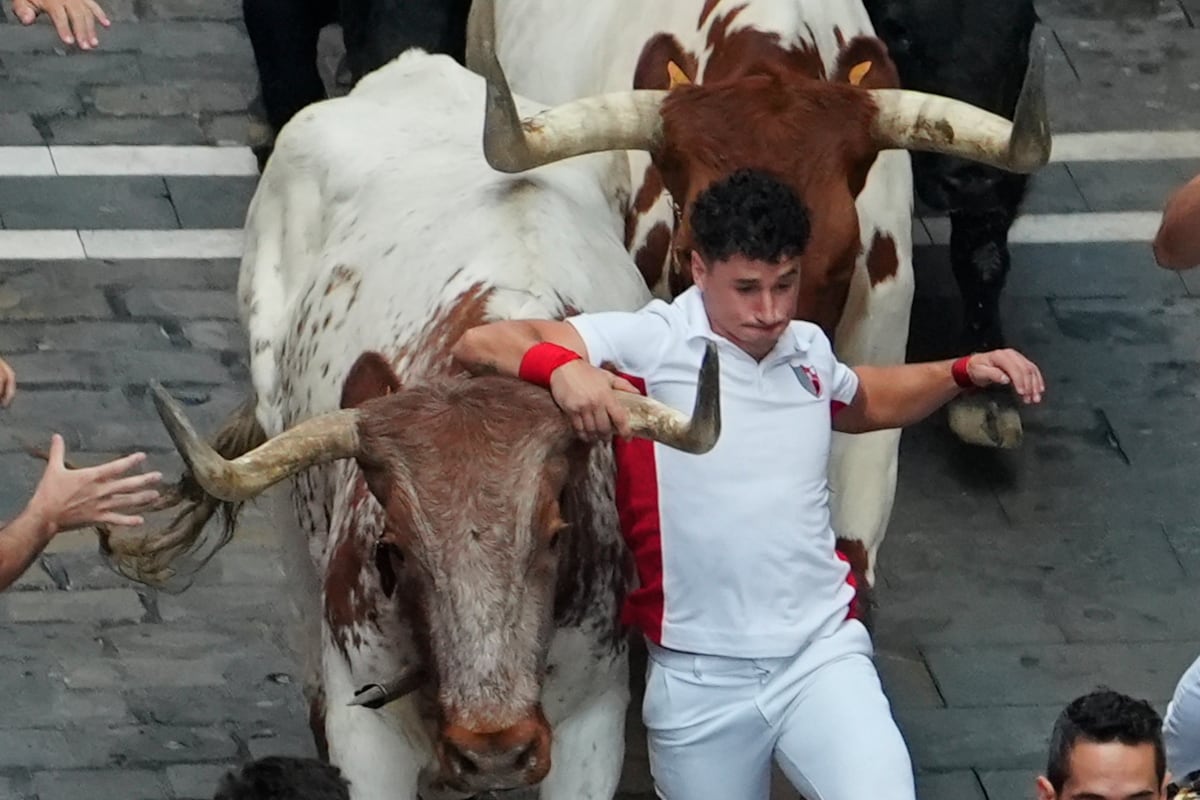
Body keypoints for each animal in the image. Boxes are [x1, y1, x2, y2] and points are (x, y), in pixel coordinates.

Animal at [131, 53, 720, 796]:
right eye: (397, 548)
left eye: (557, 533)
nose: (493, 749)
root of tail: (415, 63)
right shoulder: (366, 728)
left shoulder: (594, 721)